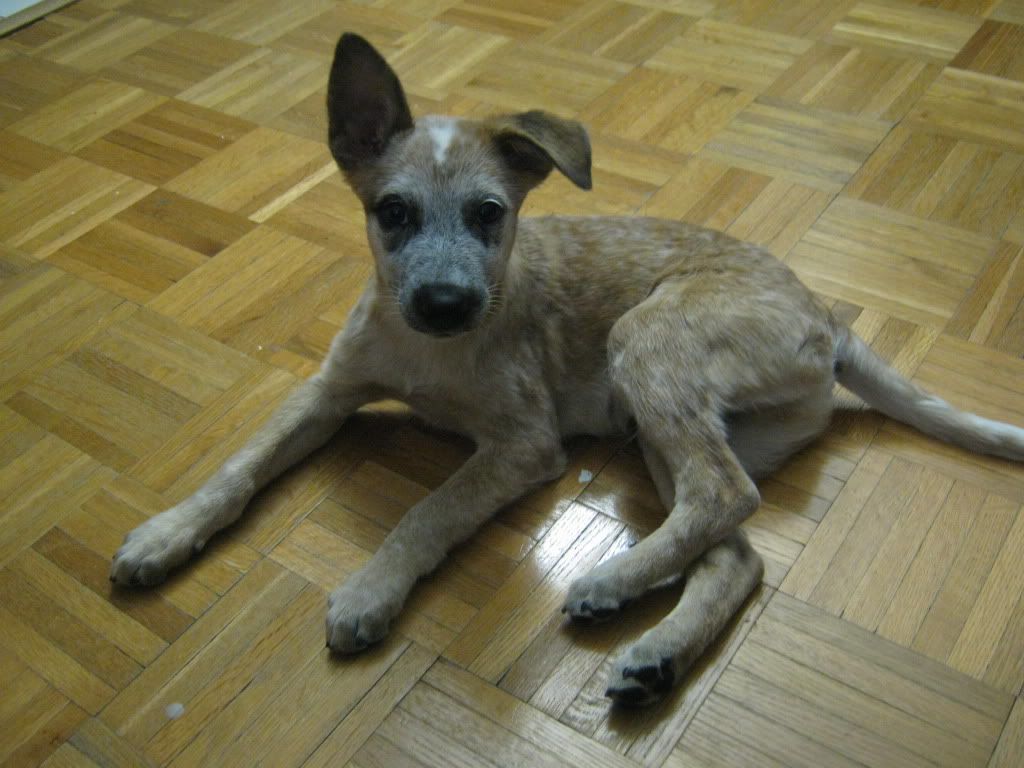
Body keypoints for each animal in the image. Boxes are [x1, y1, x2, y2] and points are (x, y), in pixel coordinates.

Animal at [110, 34, 1024, 708]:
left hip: (646, 345)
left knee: (724, 498)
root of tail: (829, 319)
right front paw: (167, 532)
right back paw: (657, 651)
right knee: (734, 549)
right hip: (659, 428)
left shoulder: (522, 445)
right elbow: (240, 465)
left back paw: (612, 580)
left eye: (491, 214)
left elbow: (428, 512)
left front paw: (374, 589)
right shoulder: (327, 392)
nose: (445, 302)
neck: (429, 351)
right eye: (391, 213)